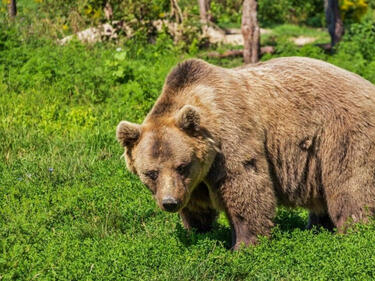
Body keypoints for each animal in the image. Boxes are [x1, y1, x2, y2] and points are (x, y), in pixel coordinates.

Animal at [116, 57, 375, 249]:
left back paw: (354, 233)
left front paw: (243, 245)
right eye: (151, 173)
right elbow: (197, 206)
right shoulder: (195, 178)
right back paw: (317, 228)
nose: (169, 202)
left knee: (351, 187)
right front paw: (197, 232)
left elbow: (245, 187)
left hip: (342, 134)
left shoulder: (231, 138)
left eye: (181, 166)